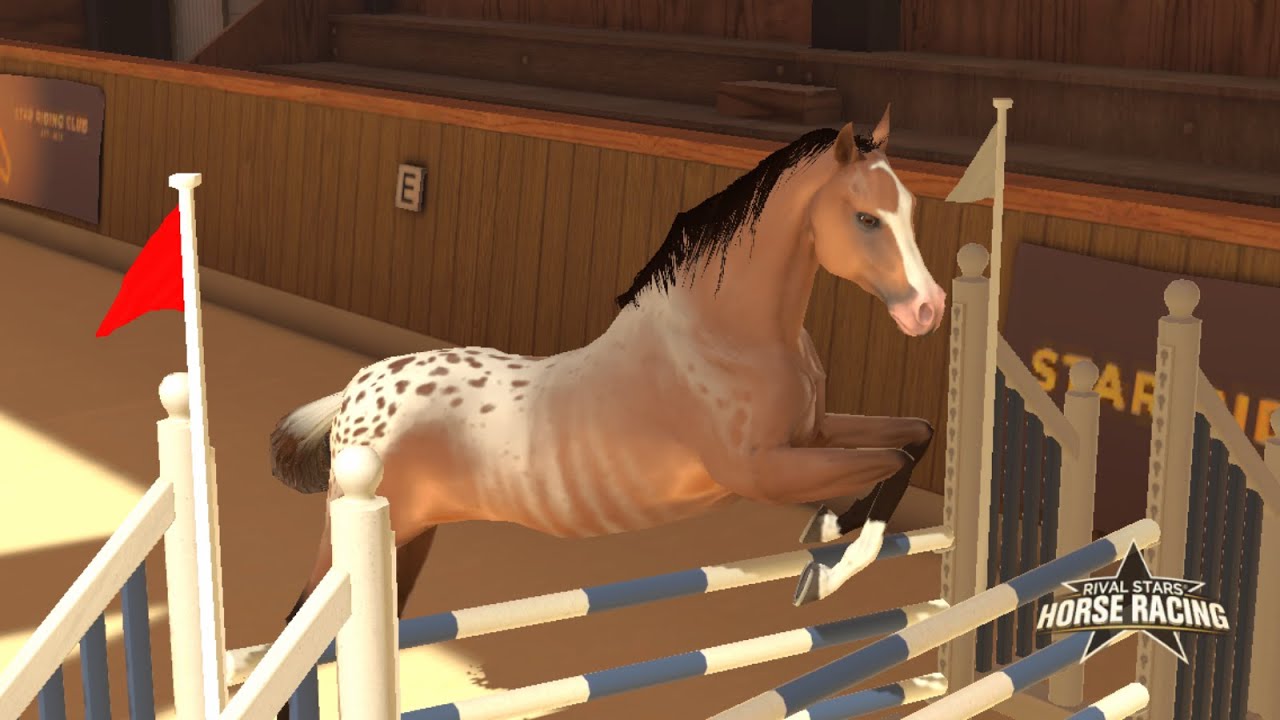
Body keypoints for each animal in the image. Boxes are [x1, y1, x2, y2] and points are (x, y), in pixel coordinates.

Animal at [268, 106, 946, 673]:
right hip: (360, 538)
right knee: (301, 624)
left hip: (411, 538)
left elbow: (915, 437)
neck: (731, 334)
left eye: (912, 210)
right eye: (865, 218)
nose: (928, 310)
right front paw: (825, 569)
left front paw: (831, 524)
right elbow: (887, 460)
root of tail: (356, 391)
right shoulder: (762, 472)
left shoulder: (814, 434)